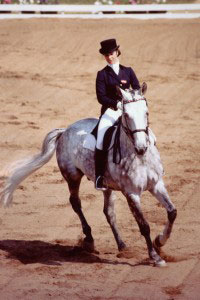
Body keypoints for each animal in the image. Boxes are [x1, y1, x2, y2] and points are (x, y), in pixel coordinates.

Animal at [0, 82, 177, 268]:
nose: (141, 148)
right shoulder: (132, 193)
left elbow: (172, 212)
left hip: (106, 186)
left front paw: (159, 242)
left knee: (109, 212)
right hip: (72, 176)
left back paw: (122, 245)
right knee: (75, 203)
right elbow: (144, 225)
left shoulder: (156, 184)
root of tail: (65, 130)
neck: (139, 158)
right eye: (126, 115)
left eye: (146, 112)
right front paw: (155, 256)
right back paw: (90, 240)